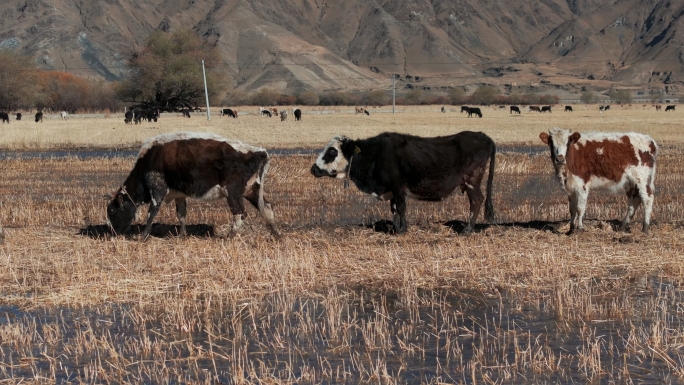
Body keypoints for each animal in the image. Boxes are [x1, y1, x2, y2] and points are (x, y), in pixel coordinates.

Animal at [107, 133, 278, 240]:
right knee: (266, 208)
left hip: (233, 193)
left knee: (240, 214)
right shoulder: (179, 195)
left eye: (112, 212)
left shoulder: (157, 189)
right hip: (251, 190)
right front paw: (182, 235)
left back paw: (229, 237)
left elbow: (152, 213)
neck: (150, 158)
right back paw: (277, 234)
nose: (113, 233)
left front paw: (143, 236)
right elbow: (181, 214)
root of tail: (257, 151)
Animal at [312, 131, 496, 234]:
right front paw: (395, 228)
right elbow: (393, 209)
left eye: (332, 151)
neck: (375, 154)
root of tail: (483, 136)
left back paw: (467, 229)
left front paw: (402, 230)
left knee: (477, 200)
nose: (313, 169)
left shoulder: (398, 187)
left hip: (472, 180)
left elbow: (401, 208)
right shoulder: (392, 190)